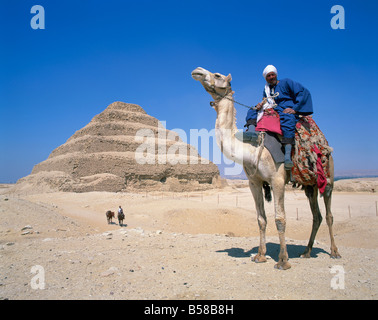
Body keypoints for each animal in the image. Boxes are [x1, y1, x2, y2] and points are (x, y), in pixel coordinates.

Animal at [190, 67, 342, 270]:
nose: (197, 71)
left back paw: (334, 252)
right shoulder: (254, 182)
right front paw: (260, 255)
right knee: (316, 215)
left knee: (329, 215)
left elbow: (280, 219)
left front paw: (283, 260)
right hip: (310, 185)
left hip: (328, 177)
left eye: (217, 75)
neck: (251, 149)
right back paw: (307, 252)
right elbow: (261, 219)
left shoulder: (277, 180)